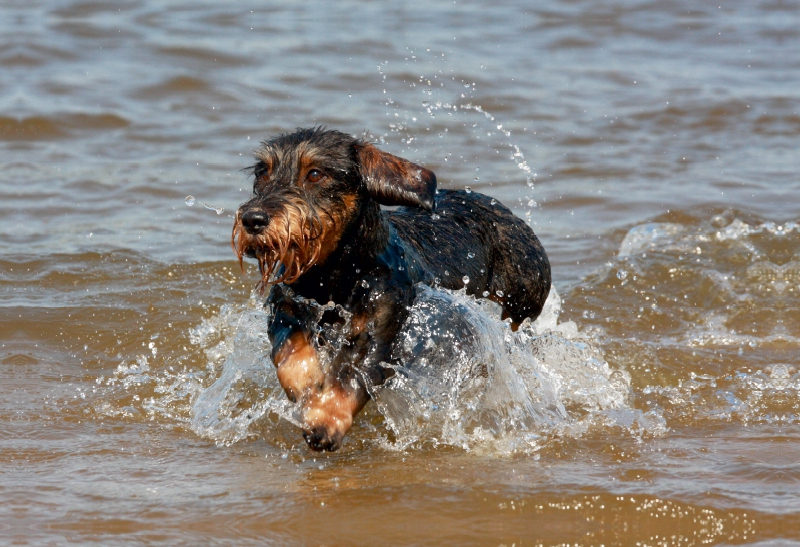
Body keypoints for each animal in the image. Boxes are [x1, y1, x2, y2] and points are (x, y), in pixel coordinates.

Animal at [231, 127, 552, 450]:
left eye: (315, 174)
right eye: (262, 172)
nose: (253, 219)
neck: (334, 278)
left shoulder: (379, 326)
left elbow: (350, 375)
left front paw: (325, 421)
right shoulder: (285, 308)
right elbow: (288, 351)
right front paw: (306, 381)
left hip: (522, 303)